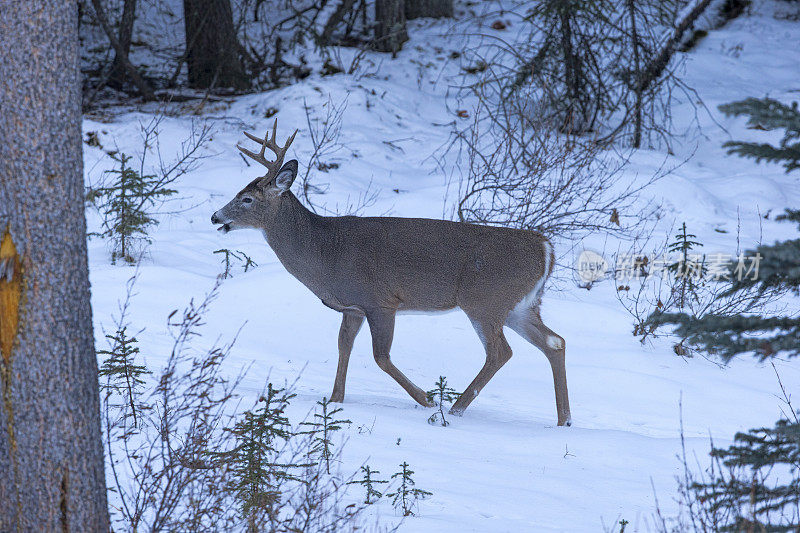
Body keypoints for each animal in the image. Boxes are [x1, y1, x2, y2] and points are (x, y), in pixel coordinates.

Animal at [209, 119, 572, 424]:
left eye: (247, 199)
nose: (215, 217)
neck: (325, 252)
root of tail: (545, 247)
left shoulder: (380, 301)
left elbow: (380, 356)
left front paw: (426, 399)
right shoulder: (353, 307)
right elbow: (343, 347)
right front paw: (335, 399)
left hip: (485, 301)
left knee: (501, 352)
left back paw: (454, 409)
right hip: (521, 305)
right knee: (555, 342)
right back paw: (563, 420)